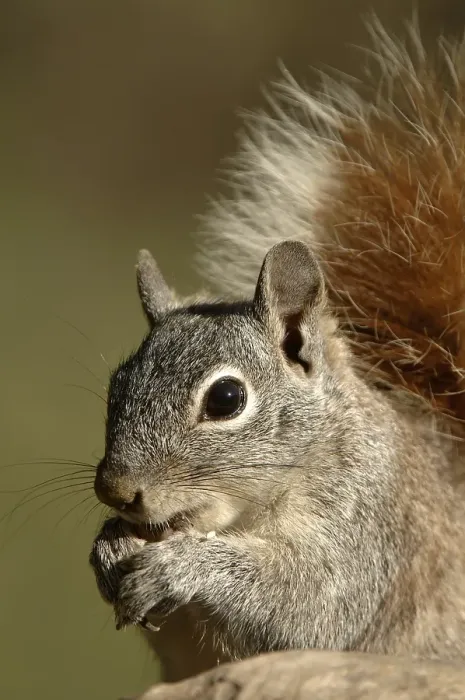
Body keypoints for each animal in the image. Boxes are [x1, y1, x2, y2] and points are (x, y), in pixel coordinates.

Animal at [90, 20, 465, 683]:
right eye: (117, 384)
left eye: (226, 398)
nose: (117, 490)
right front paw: (109, 546)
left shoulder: (365, 535)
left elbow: (303, 607)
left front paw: (179, 566)